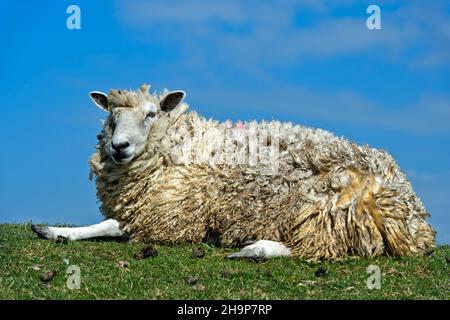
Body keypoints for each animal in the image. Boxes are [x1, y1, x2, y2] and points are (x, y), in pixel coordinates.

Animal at [32, 83, 436, 260]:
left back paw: (254, 249)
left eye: (150, 114)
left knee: (319, 248)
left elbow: (115, 227)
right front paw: (55, 231)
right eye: (112, 116)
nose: (119, 147)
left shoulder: (173, 217)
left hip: (322, 209)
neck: (180, 142)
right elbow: (108, 224)